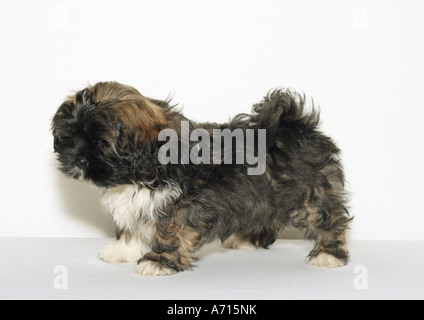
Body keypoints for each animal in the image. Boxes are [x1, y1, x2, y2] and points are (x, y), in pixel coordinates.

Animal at [52, 82, 352, 276]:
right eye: (71, 138)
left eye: (101, 143)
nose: (78, 160)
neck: (144, 166)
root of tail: (295, 123)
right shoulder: (140, 204)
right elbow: (133, 227)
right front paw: (124, 250)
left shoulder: (181, 206)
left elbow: (169, 232)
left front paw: (159, 261)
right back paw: (248, 239)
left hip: (313, 194)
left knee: (330, 220)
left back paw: (328, 254)